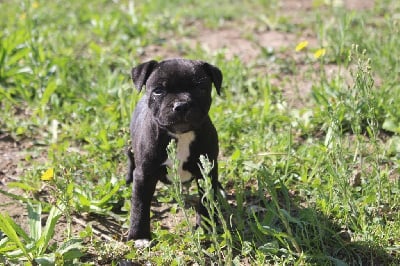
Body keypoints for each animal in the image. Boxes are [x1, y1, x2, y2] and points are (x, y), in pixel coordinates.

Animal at [126, 58, 223, 247]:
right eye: (158, 91)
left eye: (200, 88)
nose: (181, 105)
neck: (180, 135)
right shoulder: (144, 174)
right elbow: (140, 205)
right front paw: (139, 235)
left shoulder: (206, 171)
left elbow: (206, 200)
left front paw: (206, 229)